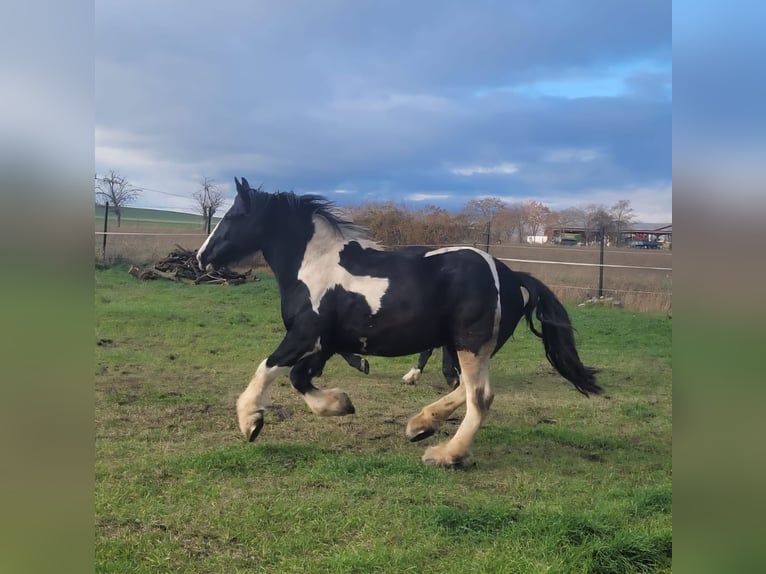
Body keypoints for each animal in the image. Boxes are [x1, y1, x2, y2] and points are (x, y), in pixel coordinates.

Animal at [197, 177, 601, 468]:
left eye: (233, 217)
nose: (202, 256)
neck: (314, 265)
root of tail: (511, 275)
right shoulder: (325, 345)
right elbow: (300, 379)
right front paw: (341, 404)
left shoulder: (304, 336)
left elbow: (266, 368)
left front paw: (250, 422)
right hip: (469, 347)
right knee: (464, 389)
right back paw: (420, 425)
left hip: (469, 344)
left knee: (479, 397)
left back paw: (446, 454)